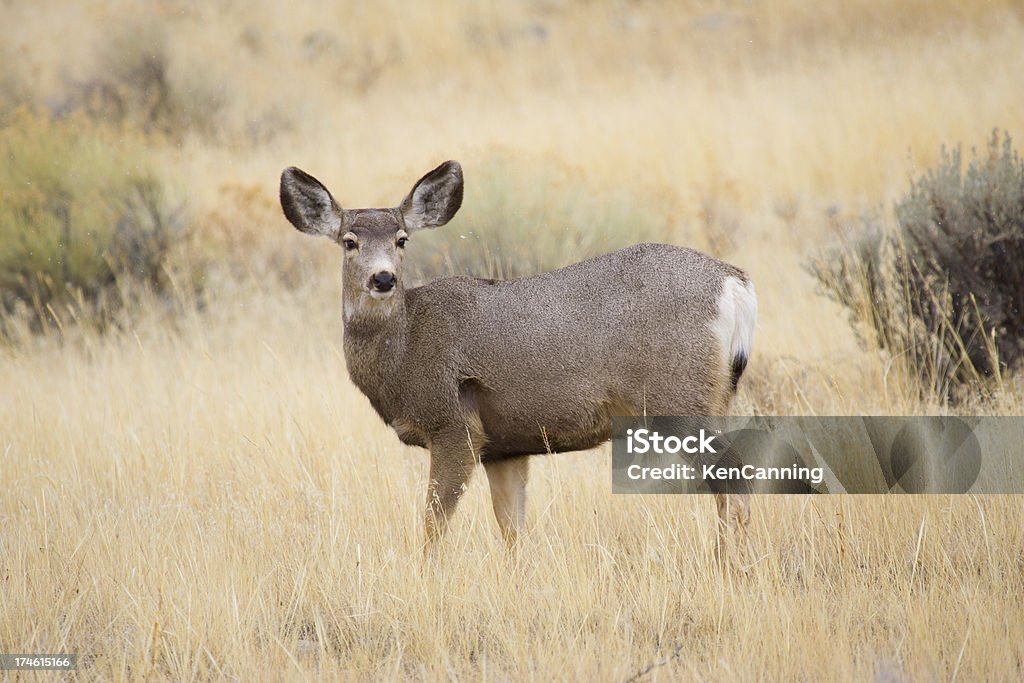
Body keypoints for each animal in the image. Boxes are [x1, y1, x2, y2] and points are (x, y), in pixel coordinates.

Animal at [276, 160, 757, 557]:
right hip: (715, 397)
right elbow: (512, 530)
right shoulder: (505, 447)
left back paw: (730, 566)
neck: (407, 345)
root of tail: (736, 285)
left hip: (678, 397)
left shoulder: (455, 425)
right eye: (349, 241)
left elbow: (433, 525)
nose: (383, 278)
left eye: (401, 240)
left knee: (733, 474)